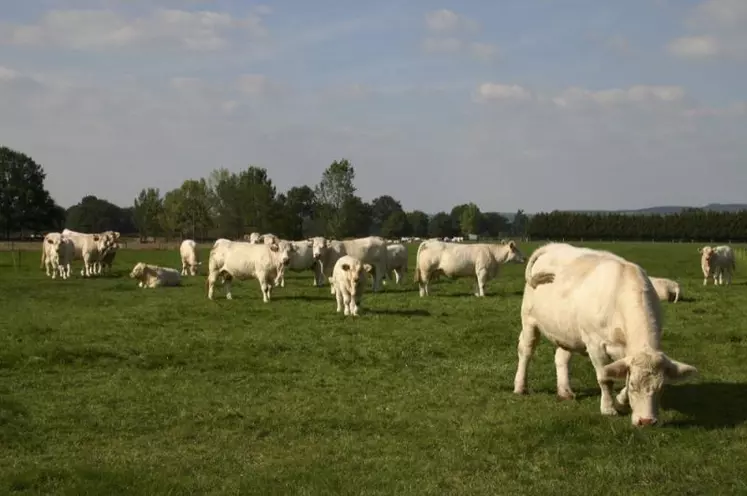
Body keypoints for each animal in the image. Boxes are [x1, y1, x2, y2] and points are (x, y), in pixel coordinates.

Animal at [512, 243, 700, 426]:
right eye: (634, 386)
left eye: (661, 388)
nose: (646, 421)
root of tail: (551, 246)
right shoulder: (595, 344)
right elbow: (605, 378)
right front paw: (609, 408)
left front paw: (621, 402)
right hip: (529, 320)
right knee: (526, 351)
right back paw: (521, 386)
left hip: (567, 331)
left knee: (561, 358)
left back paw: (565, 391)